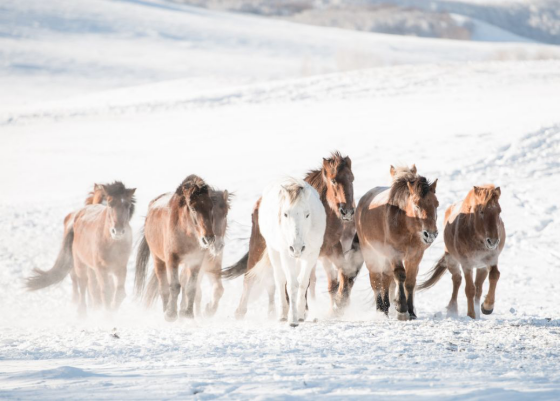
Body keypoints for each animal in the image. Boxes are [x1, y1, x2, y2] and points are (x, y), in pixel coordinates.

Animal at [26, 182, 136, 316]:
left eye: (127, 205)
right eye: (110, 204)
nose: (118, 231)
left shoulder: (120, 267)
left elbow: (119, 294)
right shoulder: (100, 268)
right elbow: (103, 292)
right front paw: (105, 315)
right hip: (80, 264)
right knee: (82, 285)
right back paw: (81, 312)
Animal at [222, 152, 356, 318]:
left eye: (352, 179)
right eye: (334, 180)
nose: (348, 212)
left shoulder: (330, 250)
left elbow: (342, 275)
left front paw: (340, 304)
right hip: (259, 246)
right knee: (250, 277)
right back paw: (241, 312)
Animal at [352, 165, 440, 318]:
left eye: (437, 204)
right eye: (417, 205)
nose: (430, 234)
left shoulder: (415, 255)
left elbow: (409, 281)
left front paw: (411, 312)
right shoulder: (394, 253)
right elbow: (400, 275)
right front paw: (401, 307)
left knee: (386, 279)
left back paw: (386, 308)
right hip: (371, 254)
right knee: (376, 280)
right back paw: (380, 309)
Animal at [418, 184, 506, 318]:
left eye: (499, 211)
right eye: (481, 211)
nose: (493, 241)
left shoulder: (491, 259)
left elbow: (494, 276)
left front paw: (487, 307)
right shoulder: (467, 264)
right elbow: (469, 289)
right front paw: (471, 315)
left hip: (481, 267)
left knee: (478, 286)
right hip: (452, 261)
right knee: (457, 280)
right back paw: (452, 310)